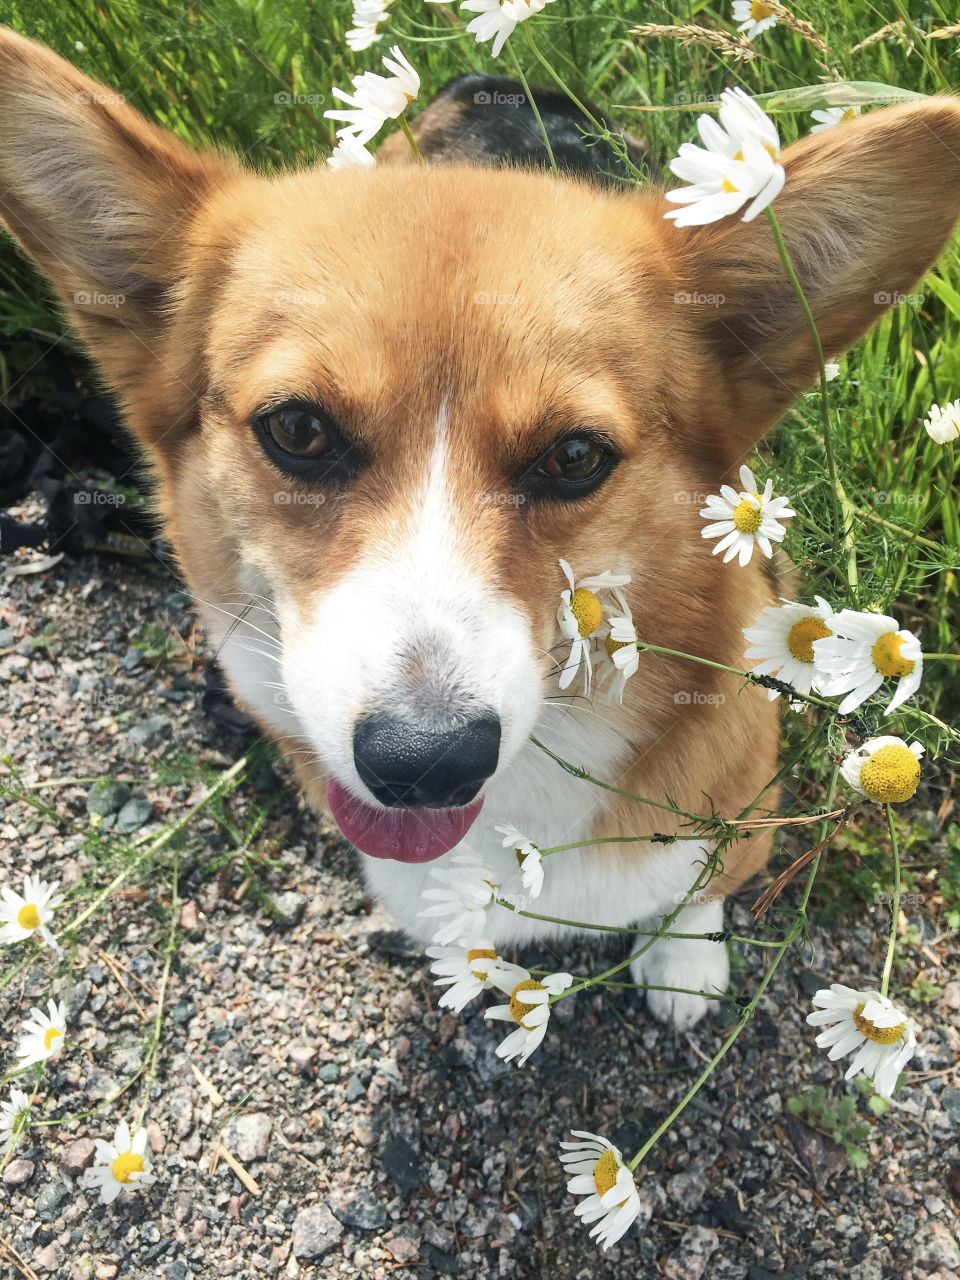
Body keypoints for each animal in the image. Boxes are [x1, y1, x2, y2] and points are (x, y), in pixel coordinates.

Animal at [1, 30, 960, 1029]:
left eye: (574, 456)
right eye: (299, 430)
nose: (424, 767)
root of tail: (499, 79)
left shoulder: (742, 814)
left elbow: (699, 890)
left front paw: (685, 961)